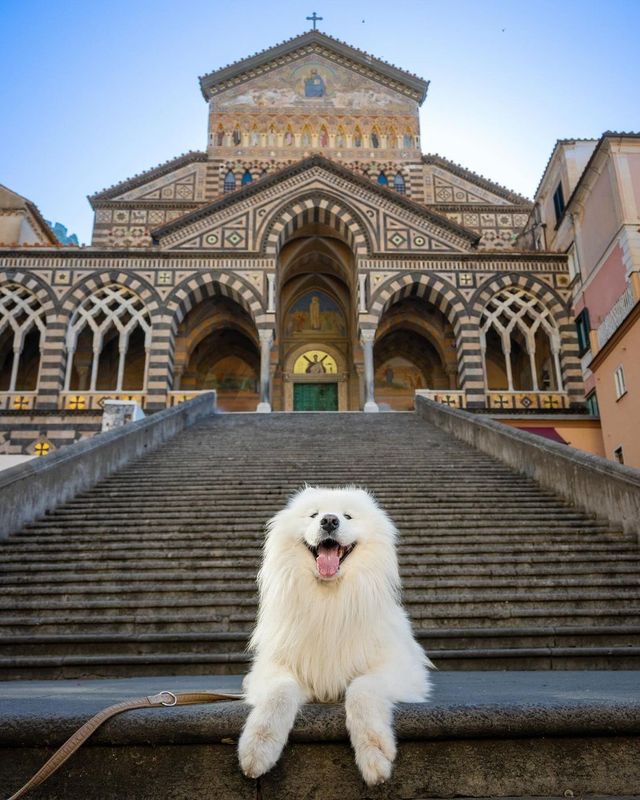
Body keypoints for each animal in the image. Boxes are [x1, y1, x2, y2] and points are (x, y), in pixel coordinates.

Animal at [239, 484, 430, 784]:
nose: (329, 520)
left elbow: (361, 690)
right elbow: (278, 696)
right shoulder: (274, 668)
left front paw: (374, 754)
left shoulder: (401, 671)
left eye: (348, 516)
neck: (329, 602)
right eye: (313, 514)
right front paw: (257, 749)